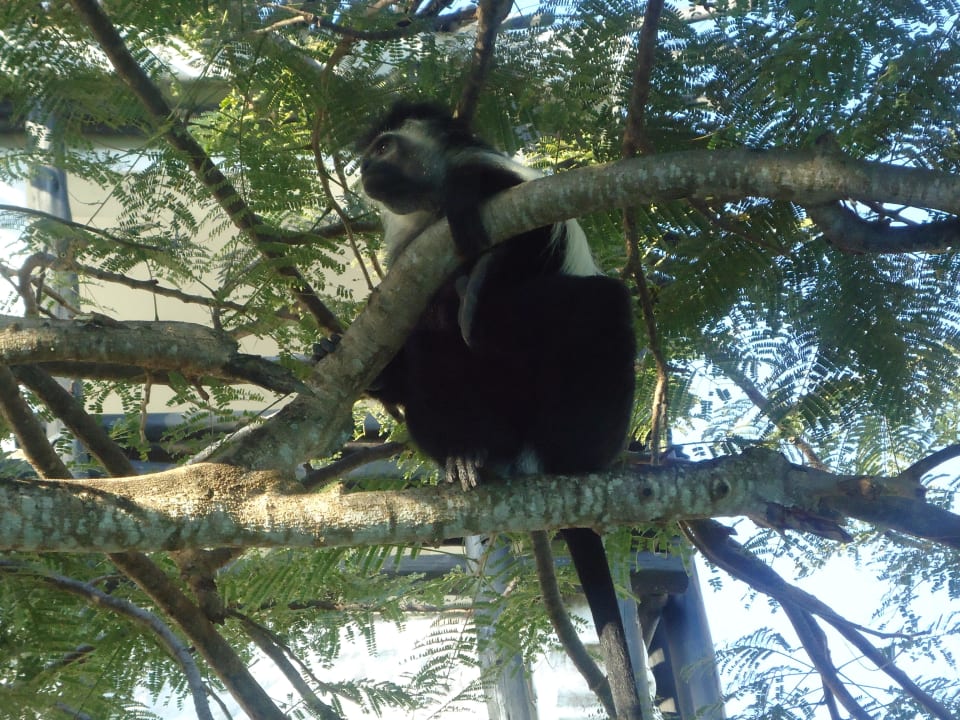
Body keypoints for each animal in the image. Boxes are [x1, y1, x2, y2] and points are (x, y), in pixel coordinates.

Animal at [358, 100, 641, 718]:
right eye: (368, 153)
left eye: (384, 148)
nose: (365, 170)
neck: (429, 209)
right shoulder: (405, 265)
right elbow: (404, 351)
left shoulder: (504, 181)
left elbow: (530, 228)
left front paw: (477, 269)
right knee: (432, 344)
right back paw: (469, 459)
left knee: (600, 301)